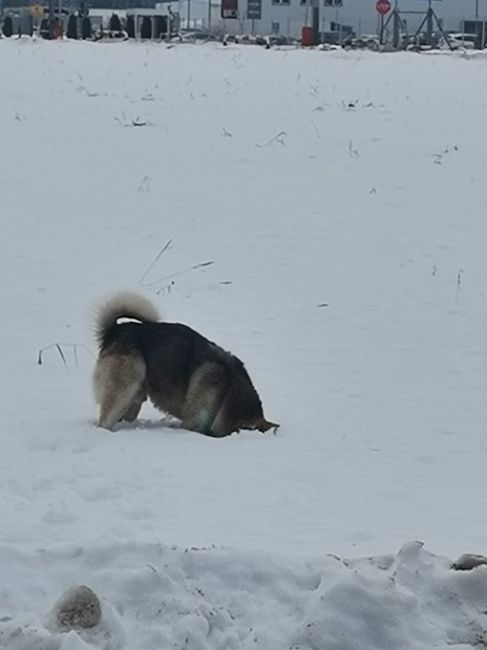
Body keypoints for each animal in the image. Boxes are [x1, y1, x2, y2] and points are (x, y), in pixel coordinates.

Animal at [93, 292, 280, 436]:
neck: (228, 390)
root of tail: (115, 330)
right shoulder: (194, 422)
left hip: (133, 399)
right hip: (123, 392)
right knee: (105, 420)